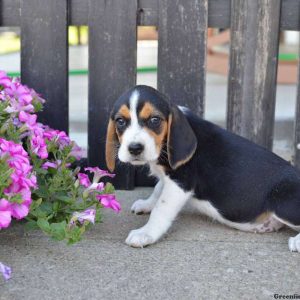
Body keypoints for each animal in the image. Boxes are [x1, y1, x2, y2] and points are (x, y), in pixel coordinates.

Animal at [106, 85, 300, 251]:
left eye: (155, 120)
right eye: (120, 121)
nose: (134, 148)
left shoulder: (180, 183)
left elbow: (161, 209)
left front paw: (146, 233)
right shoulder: (170, 177)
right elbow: (157, 189)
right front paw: (147, 204)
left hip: (281, 200)